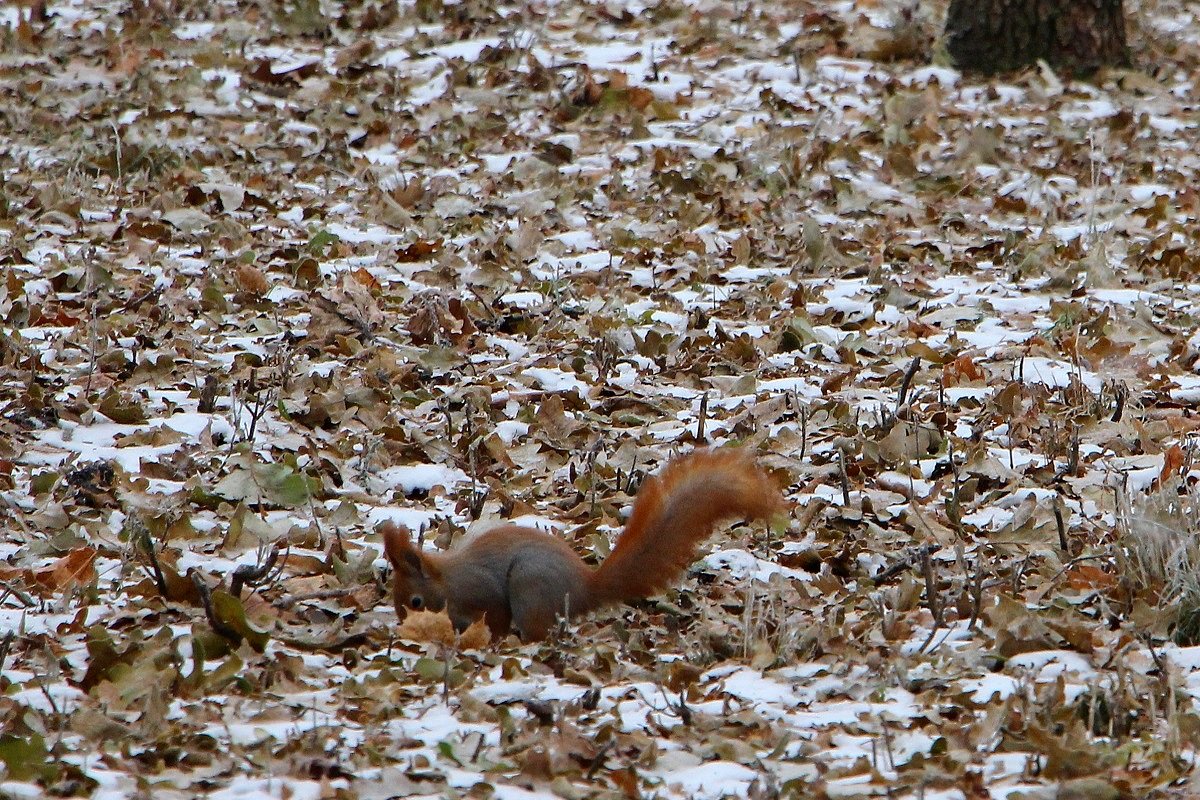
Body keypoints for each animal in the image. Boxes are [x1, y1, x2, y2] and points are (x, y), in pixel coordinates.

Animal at [379, 450, 782, 642]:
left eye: (416, 601)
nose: (404, 627)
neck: (448, 582)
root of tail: (585, 589)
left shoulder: (483, 594)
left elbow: (494, 617)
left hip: (530, 587)